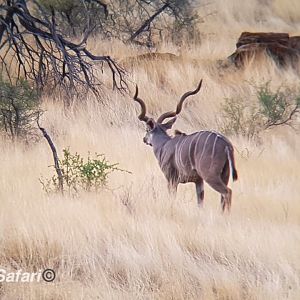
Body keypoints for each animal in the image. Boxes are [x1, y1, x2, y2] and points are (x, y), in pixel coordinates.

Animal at [132, 79, 238, 211]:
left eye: (147, 129)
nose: (144, 139)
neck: (163, 145)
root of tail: (226, 144)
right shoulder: (198, 181)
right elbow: (200, 202)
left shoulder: (171, 179)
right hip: (225, 175)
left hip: (210, 176)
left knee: (227, 192)